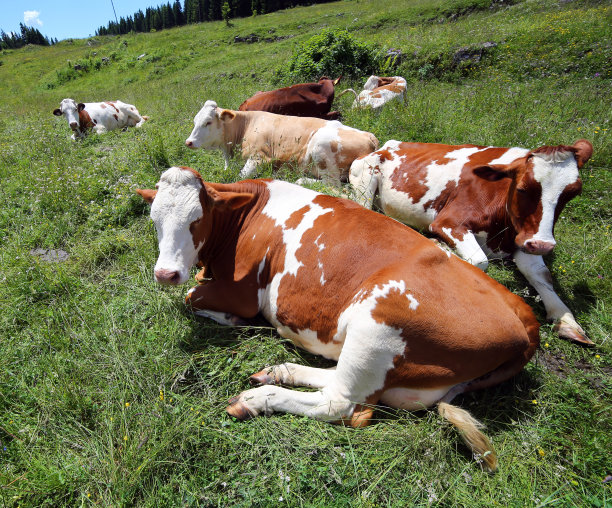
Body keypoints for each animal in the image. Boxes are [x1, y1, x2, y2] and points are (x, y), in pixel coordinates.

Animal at [135, 167, 540, 472]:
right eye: (154, 220)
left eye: (196, 220)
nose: (165, 273)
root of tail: (525, 318)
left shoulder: (243, 293)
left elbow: (191, 297)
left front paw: (231, 319)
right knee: (339, 380)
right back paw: (280, 371)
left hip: (377, 326)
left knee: (342, 405)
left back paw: (257, 398)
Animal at [185, 100, 378, 184]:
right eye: (195, 121)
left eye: (208, 122)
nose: (189, 142)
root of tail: (369, 135)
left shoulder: (259, 158)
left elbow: (239, 178)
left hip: (321, 151)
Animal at [352, 139, 596, 346]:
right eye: (523, 188)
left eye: (572, 193)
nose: (544, 245)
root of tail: (391, 144)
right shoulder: (450, 221)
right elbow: (479, 261)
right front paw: (440, 245)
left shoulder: (525, 238)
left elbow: (541, 274)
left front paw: (566, 319)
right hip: (366, 179)